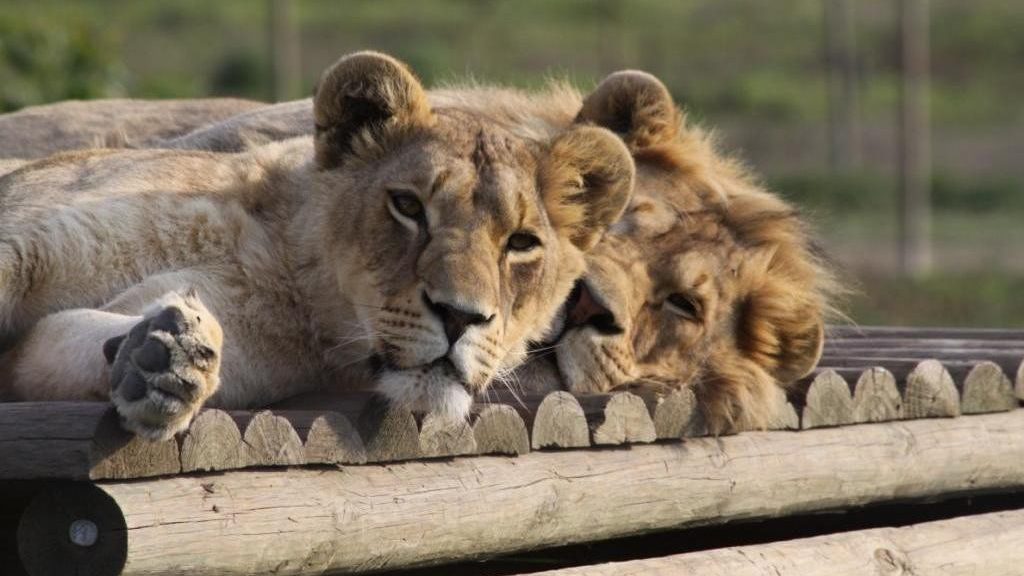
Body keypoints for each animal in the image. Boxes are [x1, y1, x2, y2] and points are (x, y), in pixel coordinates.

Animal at [0, 51, 635, 440]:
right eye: (408, 207)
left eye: (521, 243)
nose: (460, 316)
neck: (277, 265)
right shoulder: (27, 237)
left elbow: (56, 345)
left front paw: (165, 364)